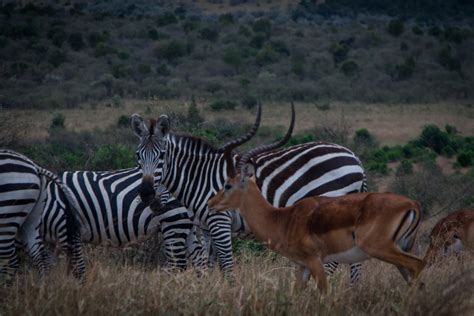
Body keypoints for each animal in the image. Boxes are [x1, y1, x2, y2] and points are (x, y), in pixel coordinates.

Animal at [0, 150, 83, 282]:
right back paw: (42, 286)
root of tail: (35, 167)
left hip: (8, 214)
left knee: (10, 260)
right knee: (40, 256)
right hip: (31, 218)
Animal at [131, 104, 368, 284]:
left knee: (334, 261)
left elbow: (227, 265)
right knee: (355, 262)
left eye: (162, 155)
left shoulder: (220, 221)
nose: (147, 194)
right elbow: (207, 265)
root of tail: (355, 158)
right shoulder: (206, 226)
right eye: (138, 155)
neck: (199, 177)